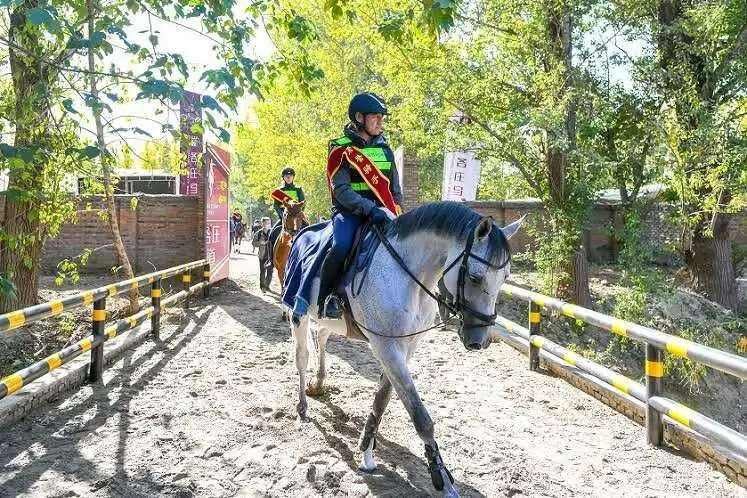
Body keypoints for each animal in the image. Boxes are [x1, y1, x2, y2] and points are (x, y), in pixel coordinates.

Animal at [286, 202, 522, 498]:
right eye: (475, 277)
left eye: (505, 277)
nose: (479, 339)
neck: (408, 277)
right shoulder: (386, 346)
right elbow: (420, 416)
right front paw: (441, 478)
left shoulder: (405, 346)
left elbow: (383, 398)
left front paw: (366, 450)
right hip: (298, 314)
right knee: (302, 357)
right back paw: (302, 406)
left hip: (331, 322)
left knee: (322, 336)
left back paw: (318, 385)